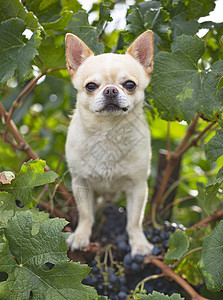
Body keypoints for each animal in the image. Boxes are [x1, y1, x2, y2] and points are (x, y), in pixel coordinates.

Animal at [65, 29, 154, 255]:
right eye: (90, 86)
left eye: (130, 85)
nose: (111, 90)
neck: (109, 133)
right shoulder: (81, 183)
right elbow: (86, 214)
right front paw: (81, 236)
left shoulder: (138, 187)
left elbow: (134, 221)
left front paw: (139, 243)